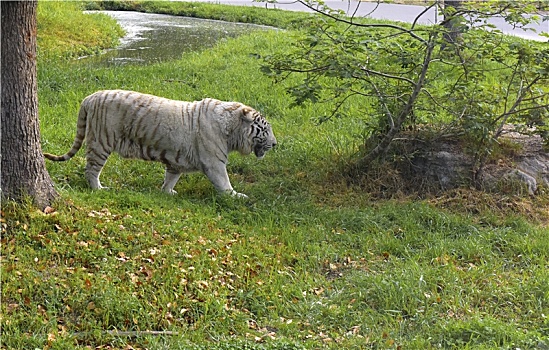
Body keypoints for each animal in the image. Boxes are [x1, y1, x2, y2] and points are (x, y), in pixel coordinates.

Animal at [43, 90, 276, 198]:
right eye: (265, 129)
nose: (275, 144)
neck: (232, 130)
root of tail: (90, 97)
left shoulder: (177, 161)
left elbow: (171, 178)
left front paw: (167, 192)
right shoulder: (215, 163)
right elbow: (224, 182)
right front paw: (236, 196)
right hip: (102, 142)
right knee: (91, 169)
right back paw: (98, 188)